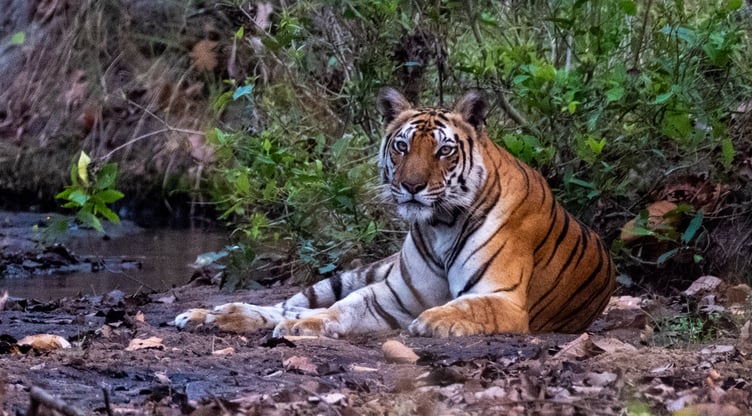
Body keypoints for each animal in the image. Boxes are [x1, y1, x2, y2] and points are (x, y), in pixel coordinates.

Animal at [175, 88, 616, 337]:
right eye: (402, 146)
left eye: (444, 150)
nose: (412, 186)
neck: (440, 225)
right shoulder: (392, 296)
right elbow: (342, 308)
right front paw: (304, 325)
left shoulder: (502, 298)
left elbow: (468, 305)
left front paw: (434, 320)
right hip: (351, 275)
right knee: (290, 302)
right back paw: (212, 314)